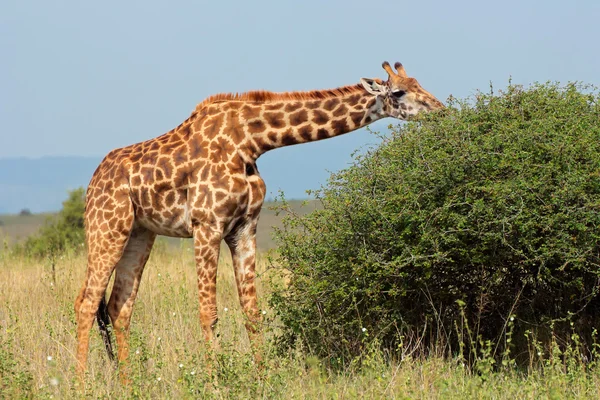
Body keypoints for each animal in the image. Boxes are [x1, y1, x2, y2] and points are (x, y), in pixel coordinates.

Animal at [74, 61, 440, 376]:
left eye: (420, 83)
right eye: (399, 93)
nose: (440, 110)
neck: (252, 140)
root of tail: (92, 182)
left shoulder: (244, 228)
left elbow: (252, 312)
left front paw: (262, 379)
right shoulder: (206, 225)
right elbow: (209, 313)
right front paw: (215, 383)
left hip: (139, 233)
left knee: (119, 307)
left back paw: (129, 382)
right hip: (106, 229)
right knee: (86, 302)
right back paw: (83, 383)